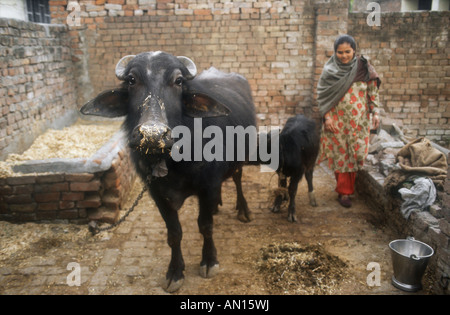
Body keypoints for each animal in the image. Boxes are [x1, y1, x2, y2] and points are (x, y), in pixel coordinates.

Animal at [80, 51, 255, 294]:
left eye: (178, 81)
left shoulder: (207, 186)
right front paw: (175, 272)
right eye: (132, 80)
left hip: (241, 157)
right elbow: (174, 234)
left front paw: (209, 261)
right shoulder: (157, 193)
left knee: (237, 179)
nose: (153, 134)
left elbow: (205, 226)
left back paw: (243, 210)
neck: (174, 163)